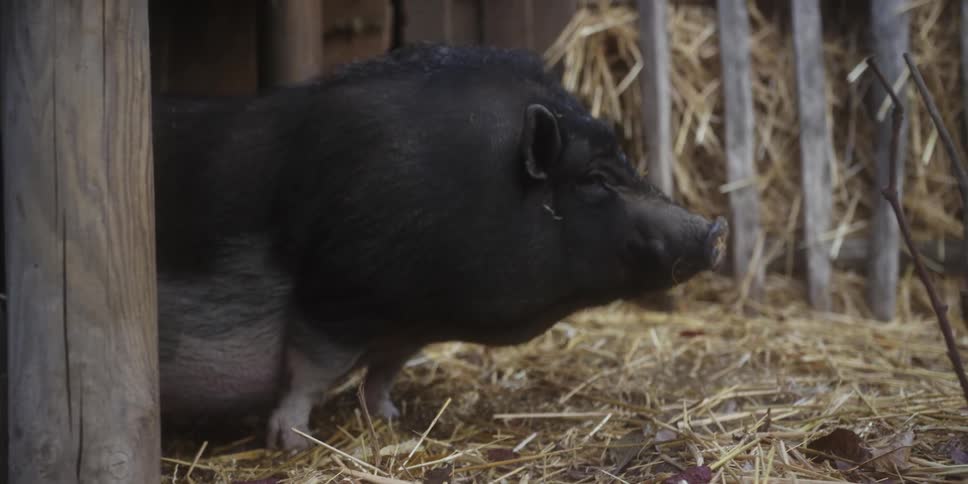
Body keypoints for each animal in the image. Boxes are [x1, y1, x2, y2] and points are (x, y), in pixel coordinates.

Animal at [151, 43, 729, 450]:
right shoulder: (336, 289)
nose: (715, 230)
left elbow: (383, 371)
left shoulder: (406, 321)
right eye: (592, 179)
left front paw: (390, 419)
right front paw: (293, 444)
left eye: (626, 162)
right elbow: (308, 373)